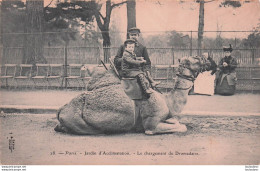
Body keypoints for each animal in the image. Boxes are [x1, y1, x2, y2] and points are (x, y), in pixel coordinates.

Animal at [54, 56, 205, 135]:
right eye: (194, 60)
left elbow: (178, 123)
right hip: (80, 122)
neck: (168, 101)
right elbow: (182, 127)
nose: (205, 58)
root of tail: (61, 110)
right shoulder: (151, 125)